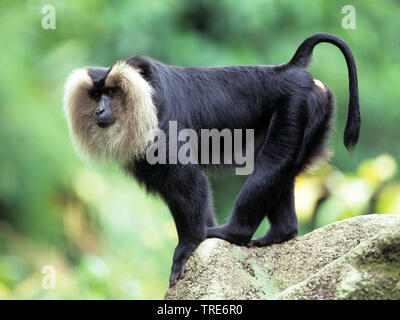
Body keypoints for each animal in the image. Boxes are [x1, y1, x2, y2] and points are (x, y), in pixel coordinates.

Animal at [63, 33, 362, 286]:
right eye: (96, 94)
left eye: (112, 92)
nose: (100, 110)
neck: (145, 94)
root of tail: (289, 69)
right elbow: (176, 191)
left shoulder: (165, 125)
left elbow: (188, 182)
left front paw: (189, 245)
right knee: (281, 171)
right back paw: (281, 233)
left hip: (296, 104)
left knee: (272, 163)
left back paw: (233, 233)